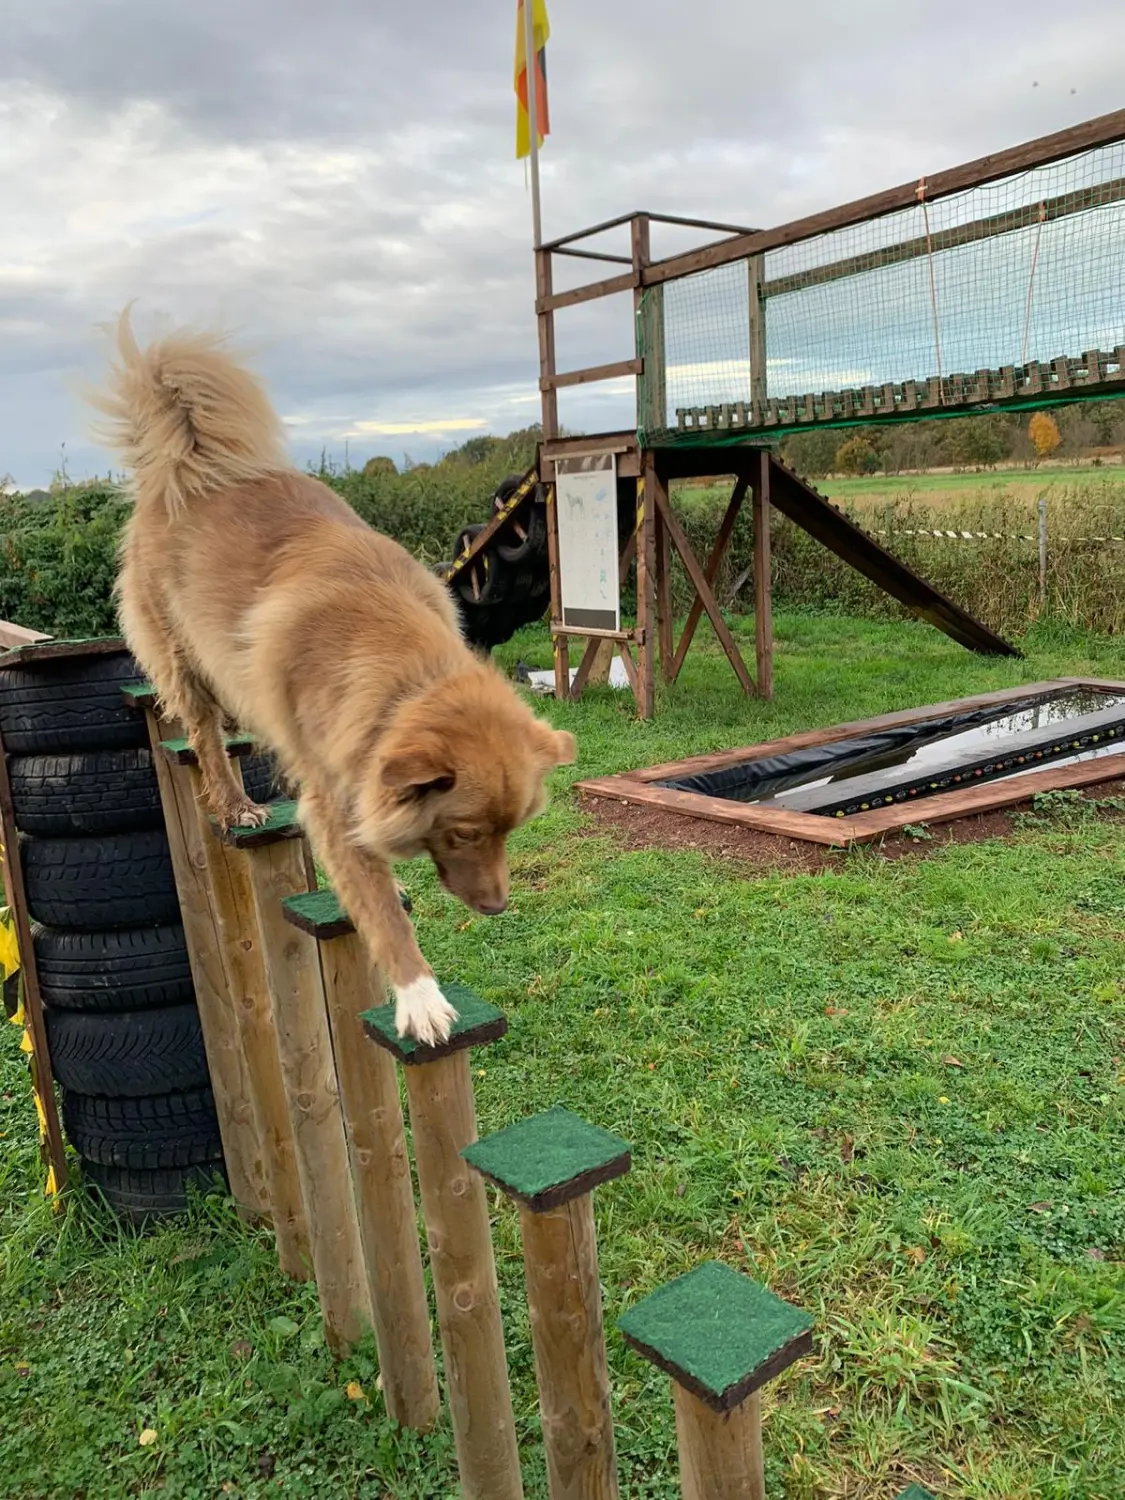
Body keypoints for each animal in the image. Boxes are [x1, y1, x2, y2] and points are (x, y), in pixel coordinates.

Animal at [92, 307, 576, 1044]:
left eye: (512, 831)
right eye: (465, 832)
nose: (497, 907)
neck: (406, 669)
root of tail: (191, 464)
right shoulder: (331, 783)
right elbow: (373, 899)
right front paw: (418, 994)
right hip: (182, 655)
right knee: (202, 733)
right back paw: (234, 802)